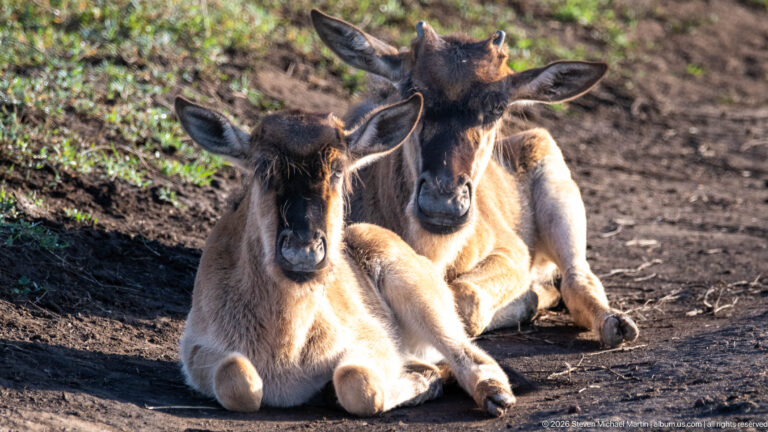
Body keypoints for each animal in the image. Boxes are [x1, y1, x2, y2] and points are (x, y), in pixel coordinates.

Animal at [174, 94, 516, 417]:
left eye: (338, 171)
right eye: (263, 169)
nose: (303, 250)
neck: (285, 346)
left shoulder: (373, 341)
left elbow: (358, 383)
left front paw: (417, 382)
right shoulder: (197, 350)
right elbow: (237, 379)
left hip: (418, 291)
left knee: (467, 353)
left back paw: (495, 395)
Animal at [312, 10, 639, 347]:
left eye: (497, 107)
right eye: (413, 94)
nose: (443, 204)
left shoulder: (512, 253)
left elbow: (464, 298)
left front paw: (526, 299)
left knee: (576, 279)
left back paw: (613, 321)